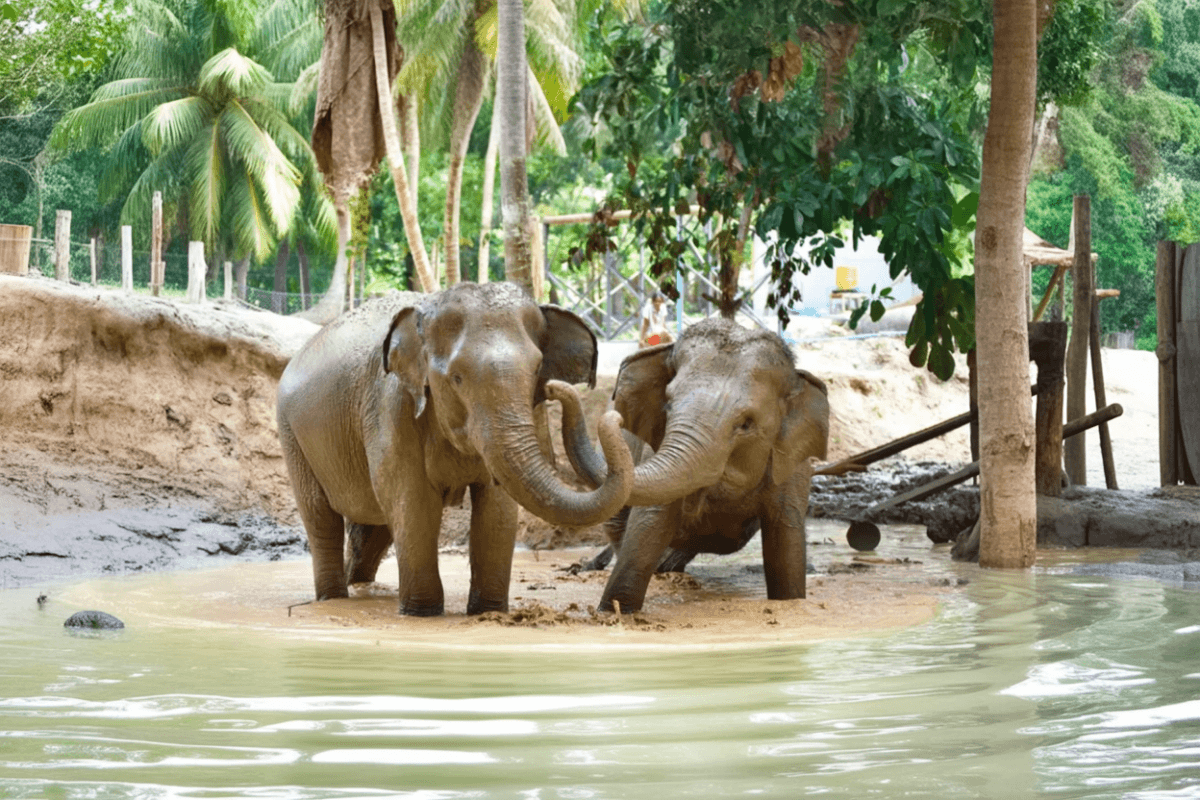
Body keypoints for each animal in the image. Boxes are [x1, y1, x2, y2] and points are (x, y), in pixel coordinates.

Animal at [276, 282, 634, 616]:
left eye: (536, 370)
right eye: (457, 378)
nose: (556, 390)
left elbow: (498, 505)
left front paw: (488, 612)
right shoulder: (391, 406)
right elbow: (413, 501)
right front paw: (422, 613)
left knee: (375, 529)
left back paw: (360, 587)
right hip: (291, 433)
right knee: (321, 518)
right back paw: (332, 598)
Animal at [551, 317, 829, 613]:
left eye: (746, 424)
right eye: (668, 406)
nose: (551, 387)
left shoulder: (793, 463)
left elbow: (787, 540)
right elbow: (649, 523)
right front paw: (615, 611)